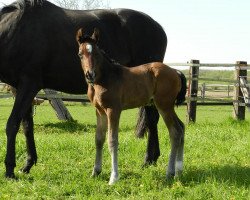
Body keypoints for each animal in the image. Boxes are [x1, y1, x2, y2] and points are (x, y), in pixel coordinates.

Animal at [1, 0, 168, 178]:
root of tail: (158, 28)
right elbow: (26, 126)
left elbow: (12, 125)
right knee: (151, 119)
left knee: (152, 119)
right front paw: (27, 164)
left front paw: (10, 170)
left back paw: (148, 159)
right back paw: (151, 159)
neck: (17, 31)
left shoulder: (29, 85)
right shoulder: (19, 87)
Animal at [76, 28, 186, 184]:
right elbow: (99, 139)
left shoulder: (113, 110)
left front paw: (114, 177)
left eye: (96, 53)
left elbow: (112, 140)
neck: (105, 78)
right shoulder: (99, 111)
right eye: (80, 54)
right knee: (181, 127)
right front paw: (95, 172)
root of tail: (175, 72)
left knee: (175, 132)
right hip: (167, 106)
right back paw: (179, 171)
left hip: (164, 105)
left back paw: (169, 173)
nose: (89, 75)